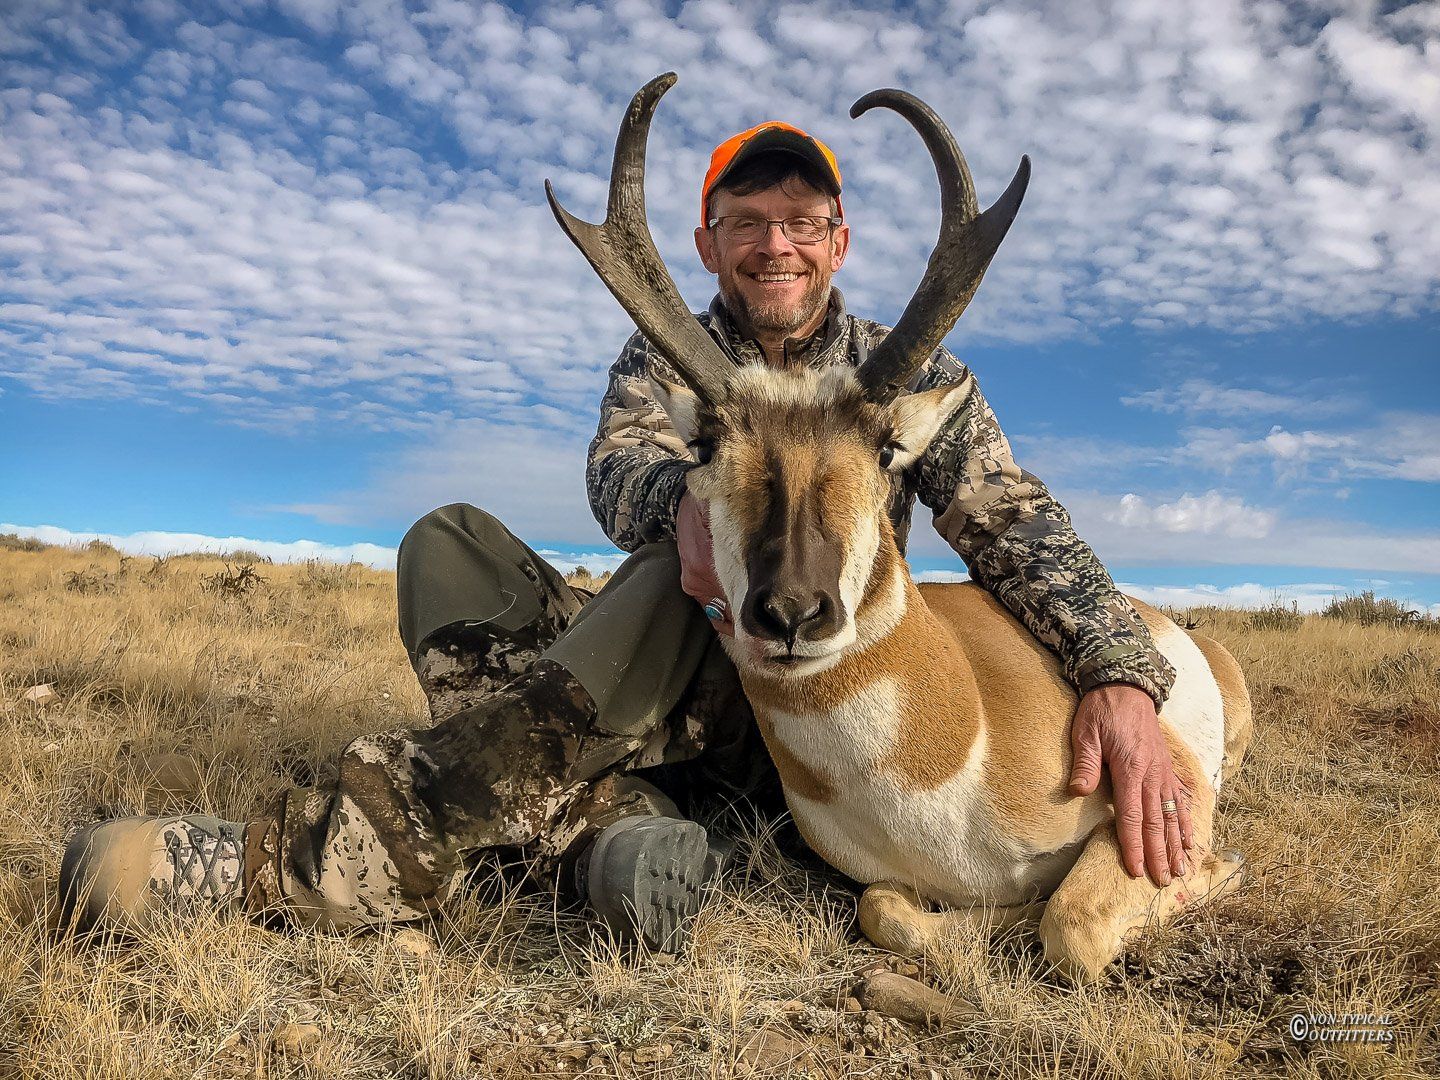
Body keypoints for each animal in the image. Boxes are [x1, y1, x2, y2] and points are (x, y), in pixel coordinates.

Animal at [548, 74, 1252, 983]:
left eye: (886, 447)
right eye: (703, 445)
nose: (793, 613)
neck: (957, 736)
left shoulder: (1169, 803)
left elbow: (1074, 926)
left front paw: (1211, 871)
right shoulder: (880, 885)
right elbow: (891, 910)